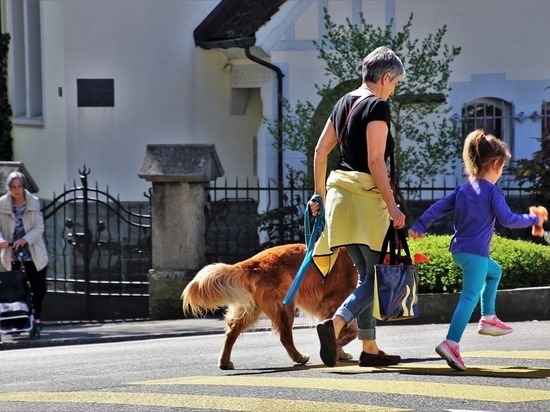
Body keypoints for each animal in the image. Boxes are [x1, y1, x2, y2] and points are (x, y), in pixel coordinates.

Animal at [183, 243, 360, 368]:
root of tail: (252, 262)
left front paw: (339, 351)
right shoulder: (334, 302)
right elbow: (350, 331)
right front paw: (336, 348)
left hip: (252, 309)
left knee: (232, 331)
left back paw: (225, 362)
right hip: (285, 306)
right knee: (285, 337)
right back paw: (299, 357)